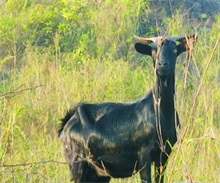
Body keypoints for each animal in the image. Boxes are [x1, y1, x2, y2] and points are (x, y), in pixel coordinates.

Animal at [58, 34, 198, 183]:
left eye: (174, 51)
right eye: (154, 52)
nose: (162, 65)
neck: (160, 113)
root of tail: (67, 124)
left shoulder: (164, 154)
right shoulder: (144, 154)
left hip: (98, 173)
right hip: (77, 162)